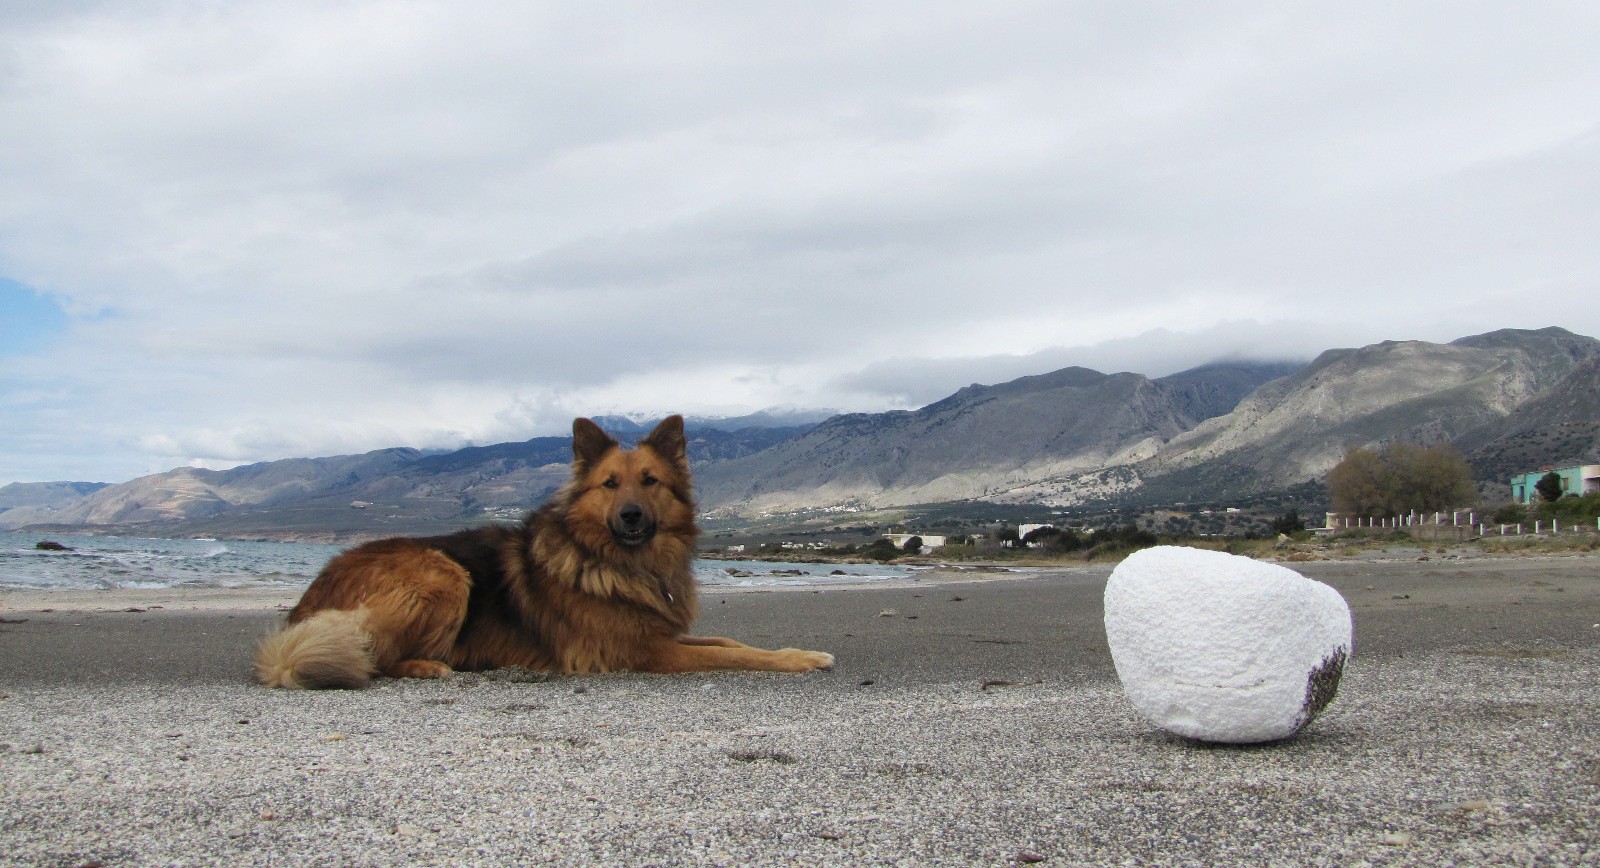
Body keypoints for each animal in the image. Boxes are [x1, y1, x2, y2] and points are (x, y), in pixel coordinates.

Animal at [256, 419, 832, 691]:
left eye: (650, 481)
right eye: (609, 483)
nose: (631, 516)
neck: (623, 565)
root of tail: (312, 594)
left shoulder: (656, 631)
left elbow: (729, 639)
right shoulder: (644, 652)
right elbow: (737, 654)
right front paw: (801, 658)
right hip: (443, 571)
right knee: (378, 657)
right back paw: (430, 665)